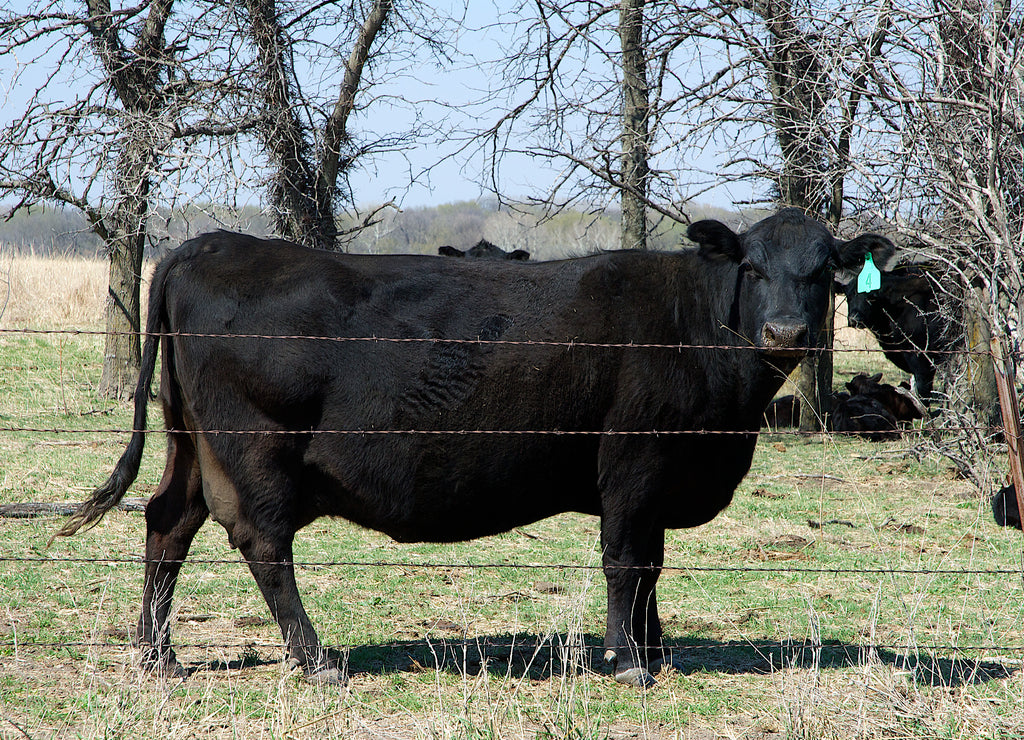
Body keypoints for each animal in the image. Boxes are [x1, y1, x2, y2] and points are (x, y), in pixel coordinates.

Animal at [55, 208, 894, 688]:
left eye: (822, 272)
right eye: (751, 266)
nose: (784, 331)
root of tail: (209, 245)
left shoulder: (662, 477)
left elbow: (653, 568)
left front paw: (657, 650)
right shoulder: (633, 464)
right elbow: (627, 562)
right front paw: (627, 661)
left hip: (188, 442)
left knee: (166, 522)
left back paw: (160, 657)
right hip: (254, 450)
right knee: (263, 544)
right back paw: (317, 661)